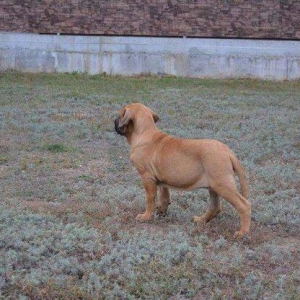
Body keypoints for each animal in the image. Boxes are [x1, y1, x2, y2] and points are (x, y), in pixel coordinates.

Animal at [115, 103, 251, 237]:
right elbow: (164, 195)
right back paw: (200, 220)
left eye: (120, 114)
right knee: (215, 206)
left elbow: (150, 199)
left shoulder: (147, 177)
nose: (114, 121)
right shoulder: (162, 179)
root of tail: (229, 152)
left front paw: (146, 217)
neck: (144, 133)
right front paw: (162, 211)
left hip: (223, 184)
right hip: (214, 186)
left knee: (244, 205)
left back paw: (242, 233)